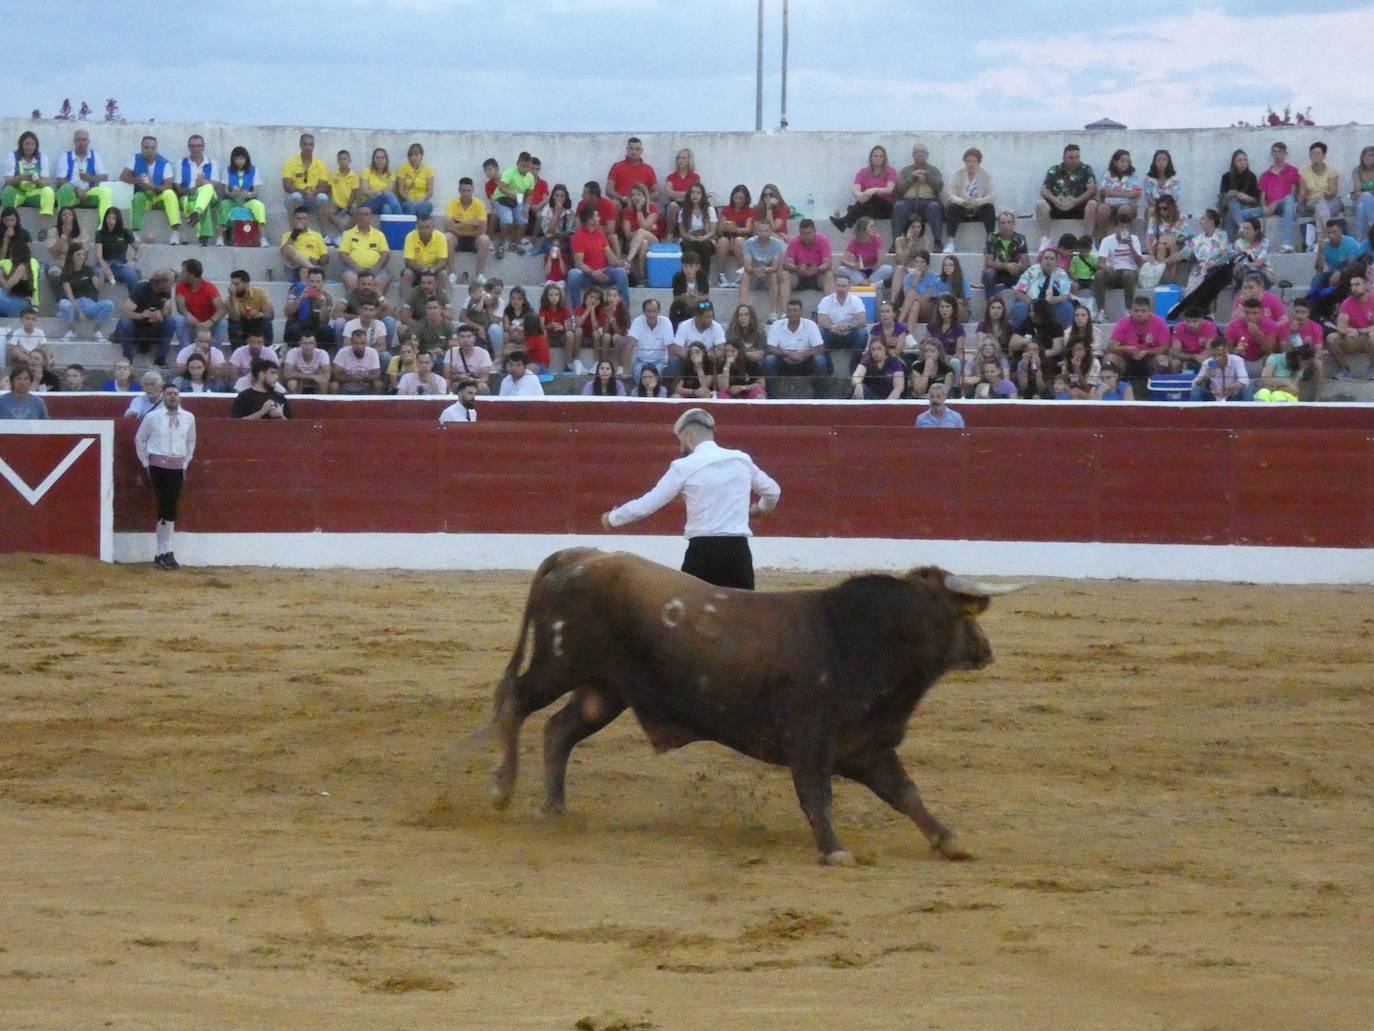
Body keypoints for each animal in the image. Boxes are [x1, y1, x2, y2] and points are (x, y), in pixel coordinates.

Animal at [489, 544, 1016, 868]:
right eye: (964, 614)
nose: (986, 650)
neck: (855, 638)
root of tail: (581, 555)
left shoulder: (865, 747)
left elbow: (906, 793)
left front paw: (950, 841)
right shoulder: (810, 741)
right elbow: (817, 796)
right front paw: (834, 851)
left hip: (605, 690)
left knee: (558, 730)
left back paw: (555, 809)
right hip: (559, 664)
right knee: (514, 702)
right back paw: (501, 790)